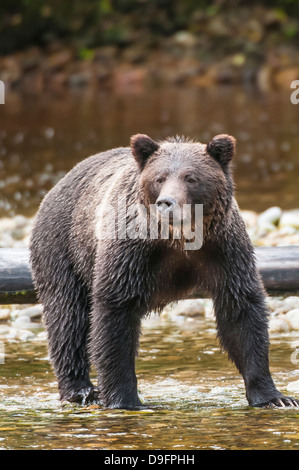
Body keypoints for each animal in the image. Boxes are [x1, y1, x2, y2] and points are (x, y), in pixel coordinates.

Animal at [29, 132, 298, 408]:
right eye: (160, 178)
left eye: (191, 177)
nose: (166, 203)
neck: (178, 239)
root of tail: (57, 185)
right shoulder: (130, 251)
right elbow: (114, 313)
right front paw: (125, 399)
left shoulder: (224, 250)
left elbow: (241, 311)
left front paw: (275, 397)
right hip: (64, 249)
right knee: (68, 316)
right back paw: (80, 390)